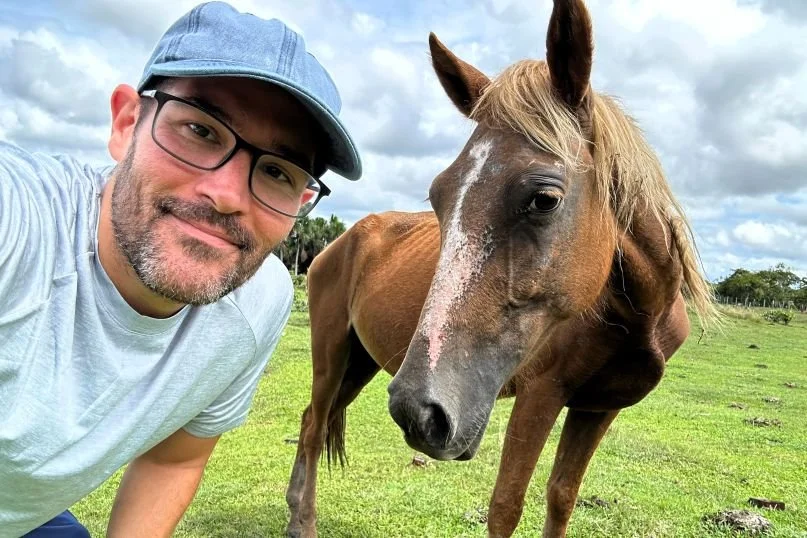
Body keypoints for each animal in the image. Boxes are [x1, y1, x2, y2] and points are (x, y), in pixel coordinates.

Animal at [285, 0, 716, 536]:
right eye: (437, 196)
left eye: (545, 198)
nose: (418, 411)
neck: (638, 317)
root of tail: (337, 243)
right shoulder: (540, 396)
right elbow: (506, 507)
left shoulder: (596, 409)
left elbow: (561, 497)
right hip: (332, 353)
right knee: (313, 425)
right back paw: (303, 521)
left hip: (360, 361)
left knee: (313, 419)